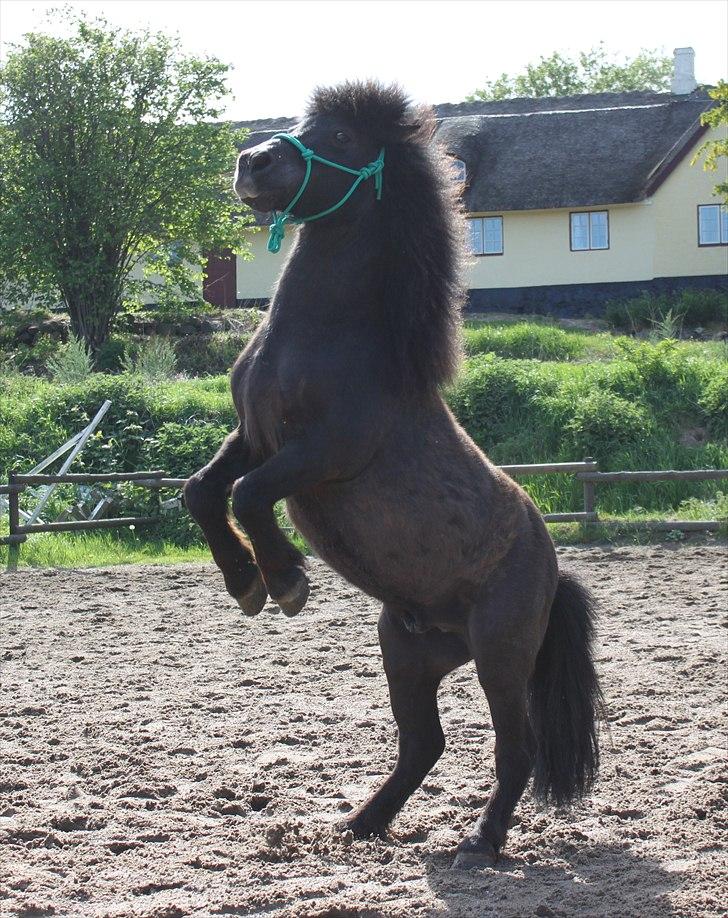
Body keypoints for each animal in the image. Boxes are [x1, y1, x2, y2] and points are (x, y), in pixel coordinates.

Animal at [185, 81, 604, 868]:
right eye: (303, 122)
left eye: (342, 137)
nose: (252, 162)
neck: (325, 336)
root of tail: (551, 568)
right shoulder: (253, 436)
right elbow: (203, 491)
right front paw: (245, 581)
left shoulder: (323, 453)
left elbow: (250, 496)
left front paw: (284, 580)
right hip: (407, 651)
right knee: (423, 746)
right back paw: (362, 823)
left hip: (500, 654)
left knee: (515, 749)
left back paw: (481, 842)